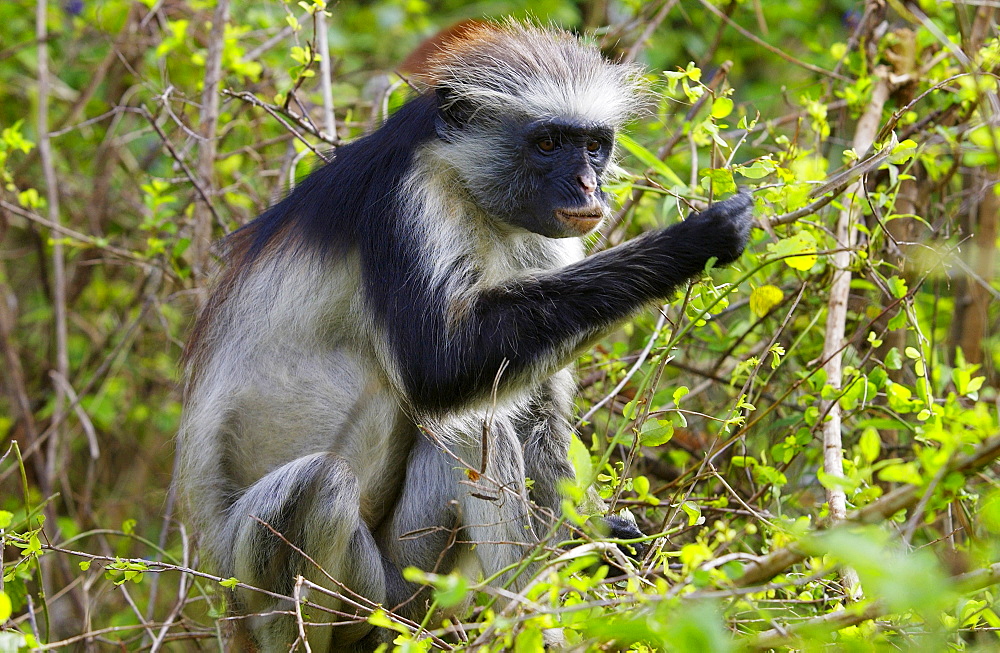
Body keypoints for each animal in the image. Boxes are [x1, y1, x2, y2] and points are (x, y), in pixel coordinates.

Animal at [176, 20, 752, 652]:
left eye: (593, 146)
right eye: (547, 144)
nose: (586, 184)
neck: (470, 193)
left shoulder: (546, 239)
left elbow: (531, 409)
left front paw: (601, 542)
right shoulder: (407, 200)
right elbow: (439, 369)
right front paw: (691, 241)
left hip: (416, 579)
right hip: (321, 594)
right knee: (334, 477)